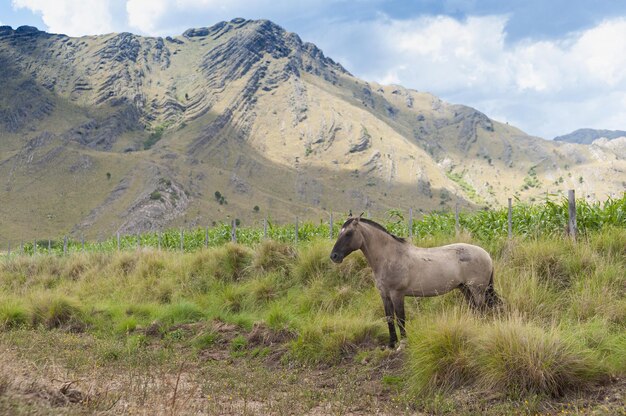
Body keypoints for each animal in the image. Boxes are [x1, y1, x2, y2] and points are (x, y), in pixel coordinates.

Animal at [326, 214, 498, 348]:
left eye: (349, 233)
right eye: (340, 233)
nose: (334, 256)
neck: (390, 256)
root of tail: (487, 255)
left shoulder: (397, 294)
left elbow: (401, 318)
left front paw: (402, 344)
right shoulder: (384, 295)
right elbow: (389, 318)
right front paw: (391, 344)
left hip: (477, 290)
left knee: (481, 310)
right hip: (465, 289)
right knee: (475, 310)